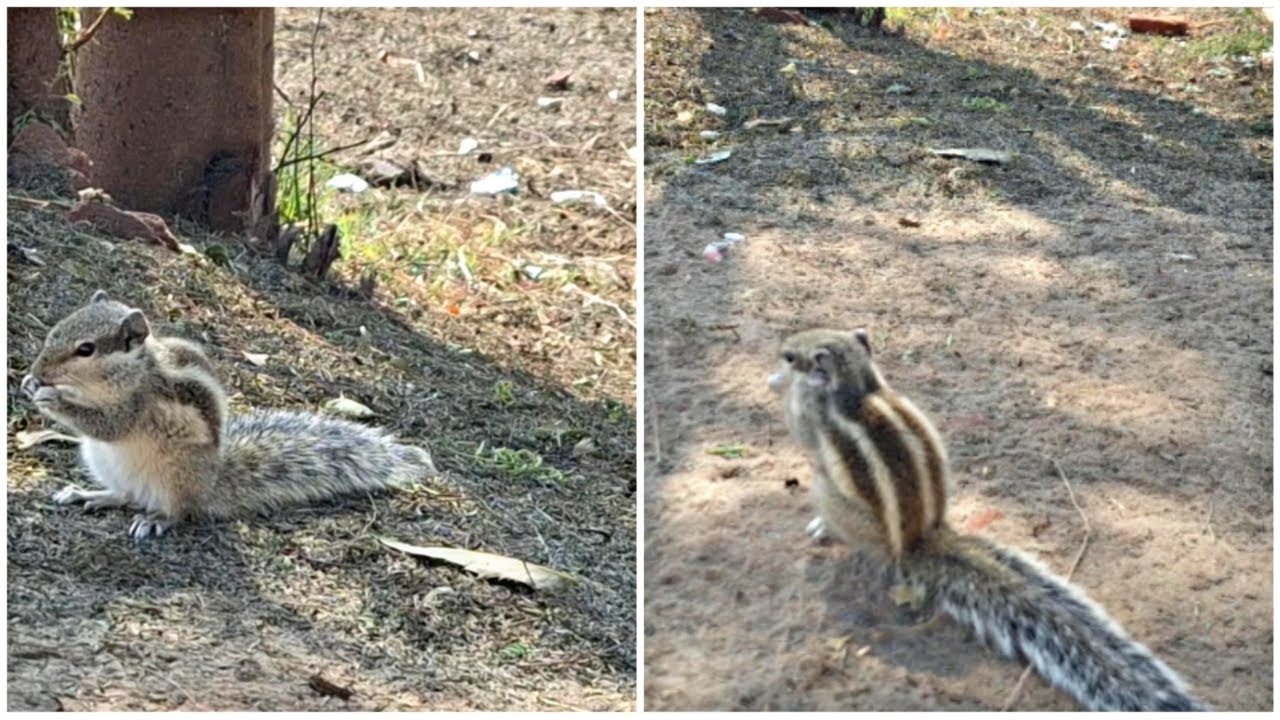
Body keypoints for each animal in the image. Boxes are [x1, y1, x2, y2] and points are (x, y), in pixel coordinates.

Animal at [20, 290, 437, 541]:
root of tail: (210, 486)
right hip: (104, 463)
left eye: (86, 349)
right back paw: (88, 494)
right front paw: (29, 383)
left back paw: (156, 519)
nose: (39, 371)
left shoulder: (137, 405)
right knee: (125, 495)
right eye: (55, 330)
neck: (132, 370)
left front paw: (51, 397)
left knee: (178, 512)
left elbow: (106, 423)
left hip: (173, 477)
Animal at [768, 328, 1206, 711]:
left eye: (792, 355)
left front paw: (779, 386)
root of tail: (917, 541)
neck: (859, 385)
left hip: (828, 493)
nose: (779, 354)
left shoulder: (810, 415)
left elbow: (801, 429)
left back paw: (825, 529)